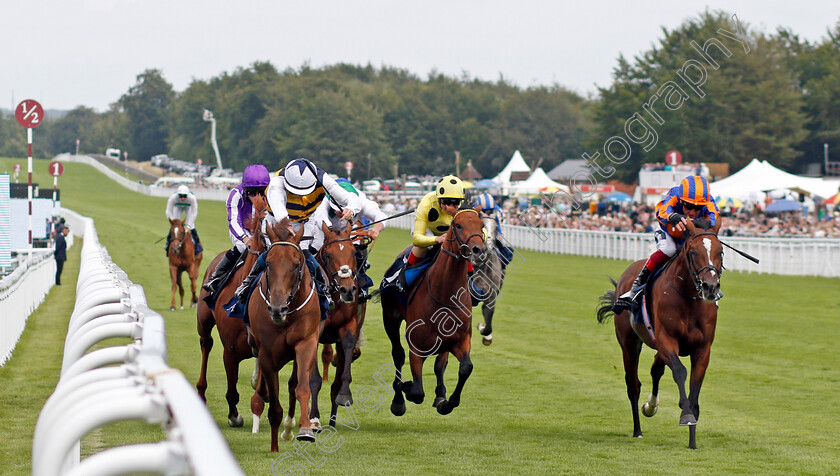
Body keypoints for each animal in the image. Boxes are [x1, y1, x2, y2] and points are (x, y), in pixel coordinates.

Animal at [249, 218, 322, 448]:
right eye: (268, 263)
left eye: (296, 264)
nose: (277, 309)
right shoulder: (267, 352)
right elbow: (273, 397)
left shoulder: (306, 342)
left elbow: (301, 387)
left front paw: (305, 429)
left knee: (293, 384)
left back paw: (289, 428)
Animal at [380, 206, 486, 414]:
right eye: (458, 225)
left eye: (482, 225)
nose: (478, 250)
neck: (444, 293)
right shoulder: (416, 347)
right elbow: (417, 391)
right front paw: (403, 388)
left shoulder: (460, 339)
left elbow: (465, 367)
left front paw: (446, 402)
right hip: (390, 317)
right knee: (398, 354)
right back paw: (398, 400)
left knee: (439, 364)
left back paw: (439, 394)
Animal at [592, 218, 724, 448]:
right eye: (693, 252)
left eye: (721, 251)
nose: (710, 287)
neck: (689, 299)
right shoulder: (666, 340)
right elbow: (680, 372)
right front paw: (686, 415)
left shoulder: (702, 349)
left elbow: (694, 389)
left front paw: (692, 439)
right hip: (629, 343)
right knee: (633, 385)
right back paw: (638, 430)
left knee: (656, 369)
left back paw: (651, 406)